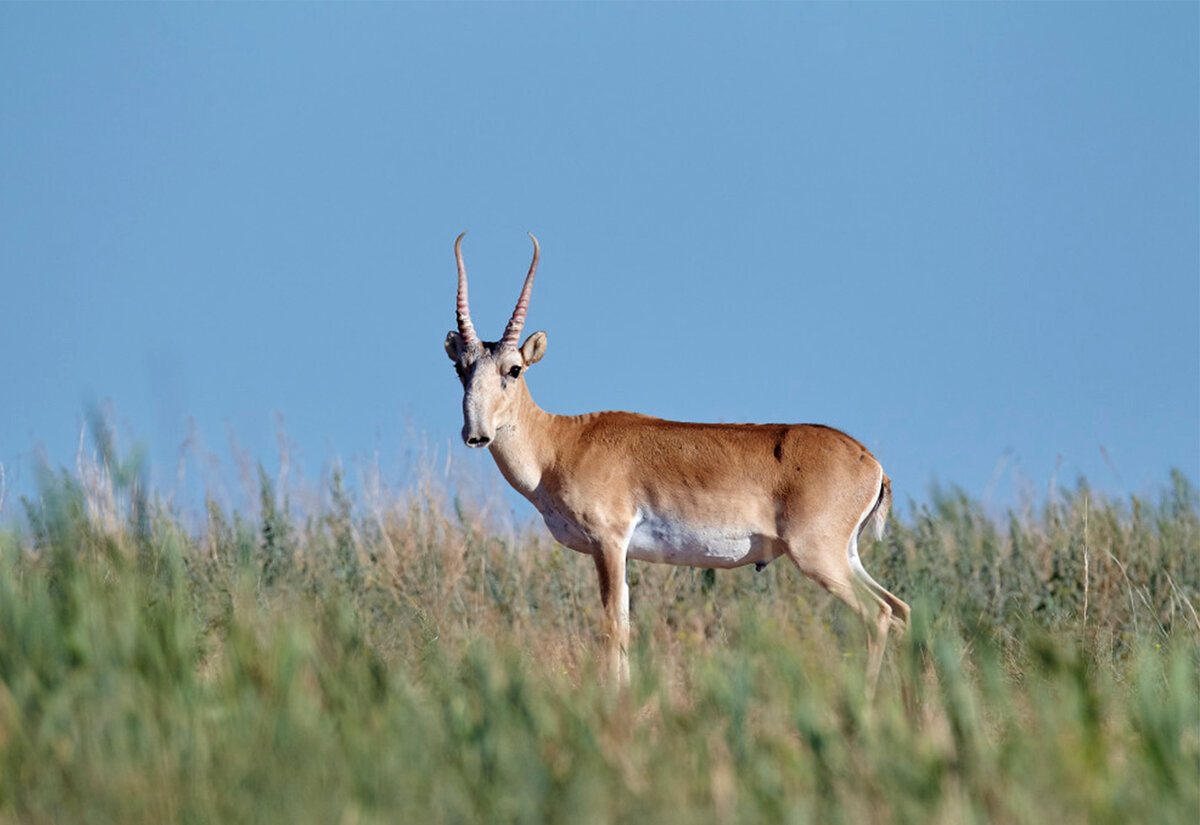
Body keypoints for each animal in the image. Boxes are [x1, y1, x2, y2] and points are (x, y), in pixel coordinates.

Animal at [444, 233, 907, 695]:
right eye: (460, 367)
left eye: (514, 369)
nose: (476, 434)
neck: (560, 443)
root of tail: (869, 461)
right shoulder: (619, 553)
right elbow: (624, 624)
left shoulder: (608, 542)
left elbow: (613, 628)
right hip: (848, 556)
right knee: (899, 609)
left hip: (818, 556)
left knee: (879, 615)